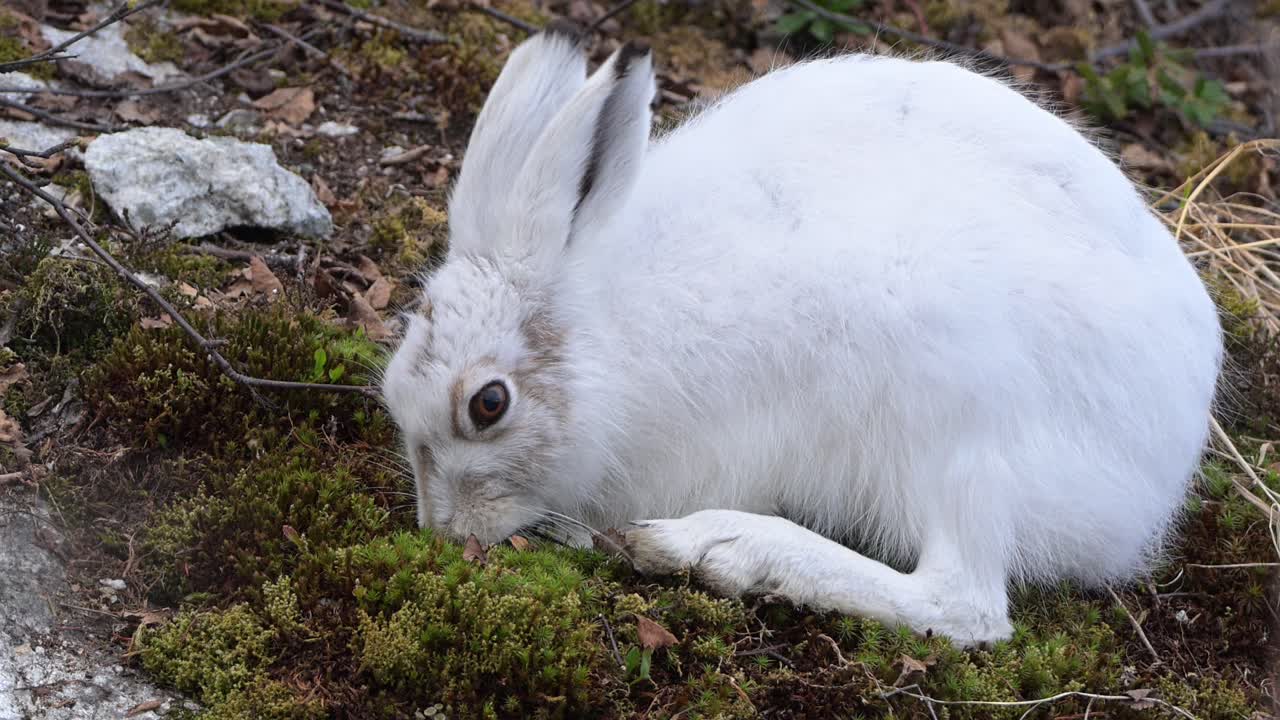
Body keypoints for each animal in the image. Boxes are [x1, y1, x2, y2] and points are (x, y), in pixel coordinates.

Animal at [379, 23, 1224, 646]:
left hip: (955, 404)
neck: (603, 339)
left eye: (488, 404)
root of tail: (1158, 474)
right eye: (392, 393)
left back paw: (715, 550)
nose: (444, 534)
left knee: (965, 603)